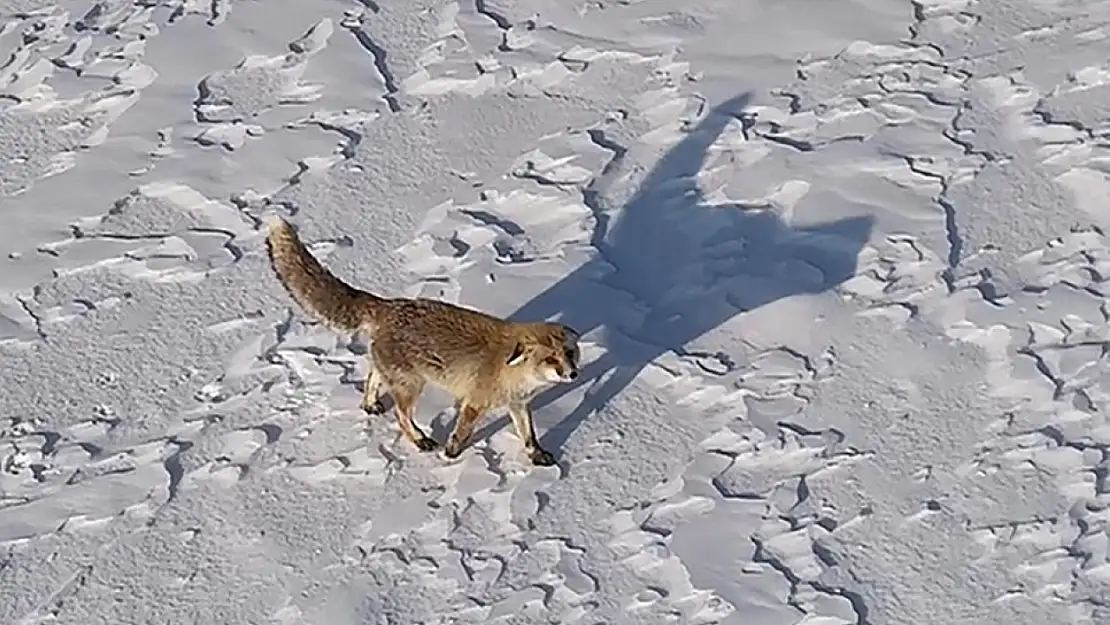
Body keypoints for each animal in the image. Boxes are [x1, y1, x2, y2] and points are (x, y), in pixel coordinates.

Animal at [260, 217, 581, 466]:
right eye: (551, 359)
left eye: (569, 353)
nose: (573, 374)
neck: (514, 374)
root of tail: (388, 305)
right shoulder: (475, 402)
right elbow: (461, 432)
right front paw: (451, 454)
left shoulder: (518, 404)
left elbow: (529, 436)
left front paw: (537, 456)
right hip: (412, 385)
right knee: (402, 416)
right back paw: (419, 440)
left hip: (397, 376)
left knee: (372, 379)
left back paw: (370, 404)